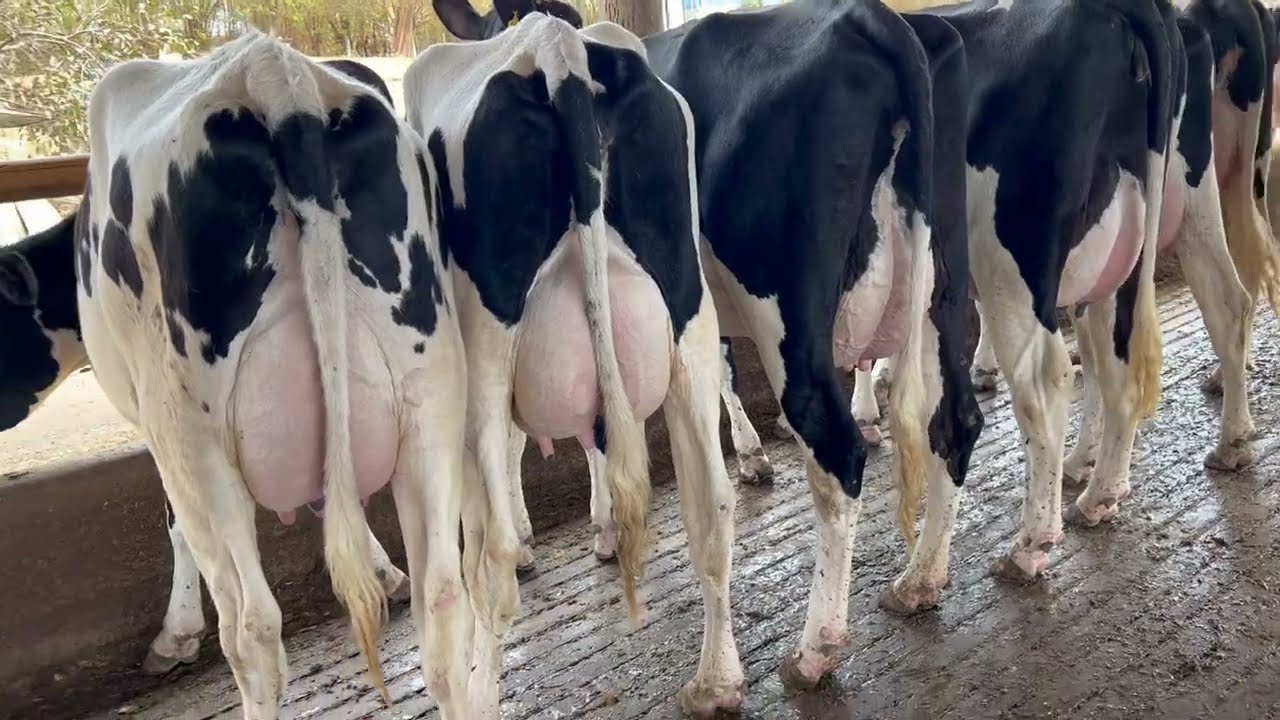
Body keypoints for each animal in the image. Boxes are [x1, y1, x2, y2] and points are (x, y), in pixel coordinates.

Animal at [41, 33, 471, 716]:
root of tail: (276, 76)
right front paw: (384, 573)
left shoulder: (158, 434)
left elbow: (172, 524)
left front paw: (174, 635)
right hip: (431, 390)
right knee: (445, 598)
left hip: (192, 433)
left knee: (252, 630)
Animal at [405, 10, 746, 716]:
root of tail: (556, 49)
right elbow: (598, 438)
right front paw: (603, 529)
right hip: (688, 311)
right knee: (711, 503)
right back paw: (716, 681)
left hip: (482, 352)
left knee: (490, 559)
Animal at [433, 0, 983, 692]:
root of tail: (874, 19)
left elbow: (548, 432)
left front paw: (569, 530)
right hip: (944, 282)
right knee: (955, 418)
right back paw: (921, 580)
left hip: (786, 307)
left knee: (837, 450)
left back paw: (814, 650)